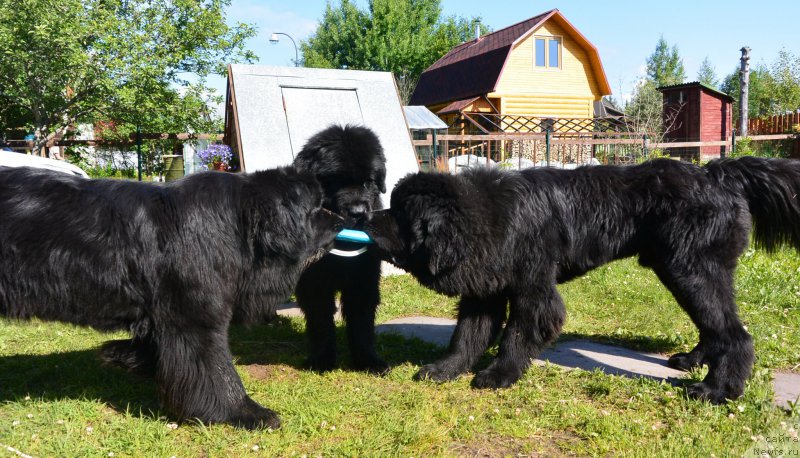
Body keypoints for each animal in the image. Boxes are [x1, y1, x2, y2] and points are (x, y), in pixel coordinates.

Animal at [0, 165, 340, 430]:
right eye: (316, 209)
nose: (339, 220)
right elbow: (214, 367)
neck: (236, 224)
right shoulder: (195, 314)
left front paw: (131, 358)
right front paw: (243, 412)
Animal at [292, 124, 390, 372]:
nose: (358, 212)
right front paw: (322, 359)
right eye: (336, 181)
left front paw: (368, 361)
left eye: (368, 182)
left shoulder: (363, 278)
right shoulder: (314, 282)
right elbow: (320, 320)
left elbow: (361, 321)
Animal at [366, 158, 800, 404]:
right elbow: (466, 336)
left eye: (400, 214)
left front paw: (499, 375)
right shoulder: (484, 291)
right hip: (687, 272)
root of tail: (717, 172)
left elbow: (516, 335)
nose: (366, 217)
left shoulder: (534, 289)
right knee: (716, 326)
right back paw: (693, 362)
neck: (486, 217)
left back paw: (716, 391)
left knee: (736, 335)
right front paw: (444, 370)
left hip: (691, 269)